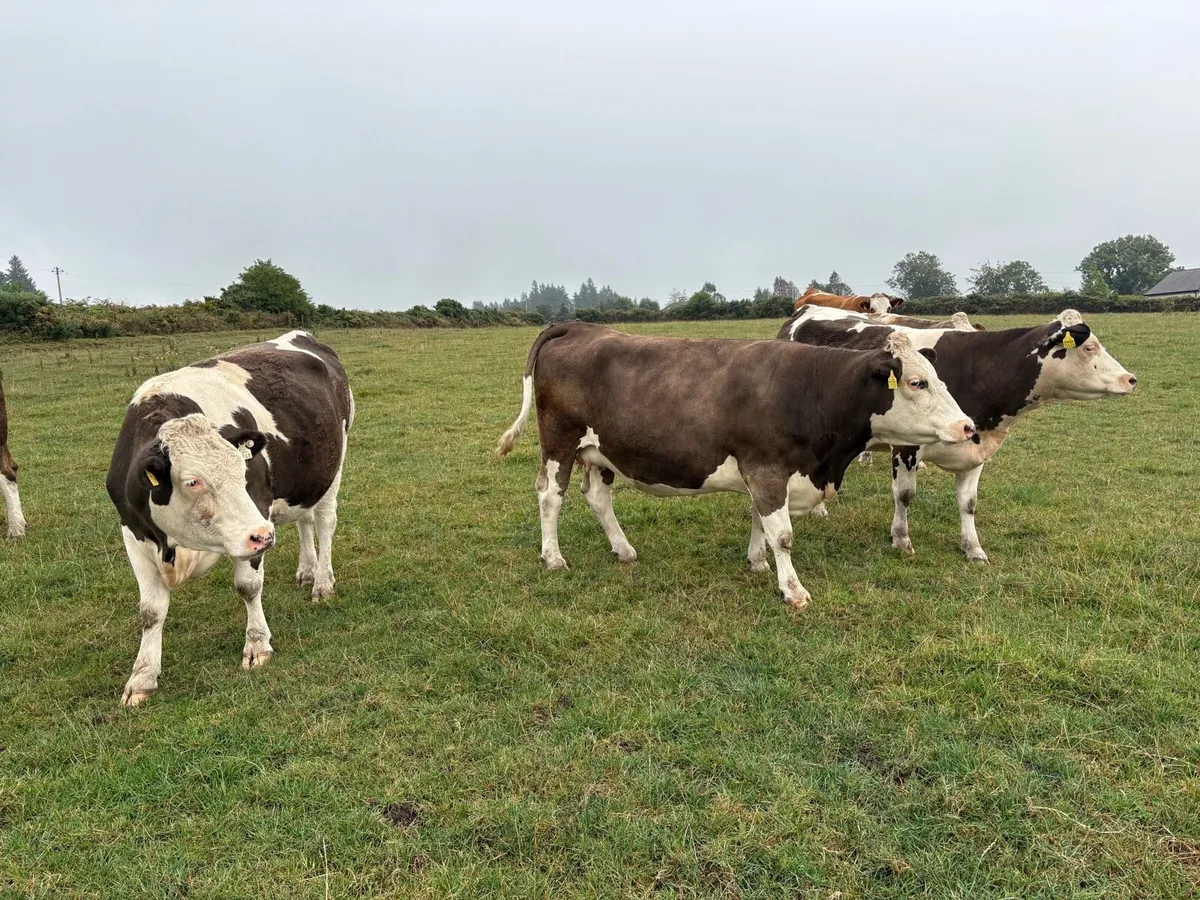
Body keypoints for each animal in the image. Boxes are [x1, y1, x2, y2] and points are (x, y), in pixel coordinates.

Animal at [105, 330, 353, 707]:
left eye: (242, 470)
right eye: (192, 481)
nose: (264, 536)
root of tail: (301, 335)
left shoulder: (257, 514)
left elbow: (248, 586)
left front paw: (257, 644)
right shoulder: (133, 532)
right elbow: (150, 610)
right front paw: (142, 677)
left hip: (332, 466)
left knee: (324, 521)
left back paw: (322, 582)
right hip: (302, 478)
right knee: (304, 521)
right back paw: (307, 571)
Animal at [495, 321, 974, 609]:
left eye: (940, 378)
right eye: (917, 382)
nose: (968, 426)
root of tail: (580, 326)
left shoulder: (764, 474)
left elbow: (760, 521)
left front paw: (757, 562)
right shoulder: (767, 468)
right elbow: (783, 535)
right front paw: (793, 590)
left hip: (600, 451)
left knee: (596, 497)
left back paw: (623, 549)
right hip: (559, 442)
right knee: (550, 496)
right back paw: (553, 558)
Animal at [778, 305, 1136, 561]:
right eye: (1089, 347)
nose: (1131, 379)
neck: (977, 366)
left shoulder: (976, 447)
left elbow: (969, 503)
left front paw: (973, 548)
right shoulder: (907, 446)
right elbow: (904, 495)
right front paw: (901, 539)